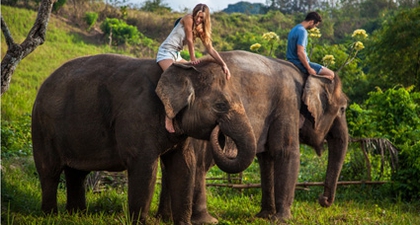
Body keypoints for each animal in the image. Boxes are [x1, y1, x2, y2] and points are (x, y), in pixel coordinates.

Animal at [31, 52, 256, 223]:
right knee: (49, 171)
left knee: (76, 173)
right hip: (43, 127)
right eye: (220, 105)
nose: (220, 132)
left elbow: (184, 165)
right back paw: (50, 215)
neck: (179, 71)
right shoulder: (139, 115)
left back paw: (76, 215)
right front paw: (141, 222)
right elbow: (145, 168)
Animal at [156, 50, 350, 221]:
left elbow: (266, 158)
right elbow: (286, 152)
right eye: (343, 109)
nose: (323, 200)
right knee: (199, 165)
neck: (305, 76)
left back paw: (165, 217)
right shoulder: (288, 103)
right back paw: (203, 219)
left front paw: (265, 216)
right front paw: (281, 219)